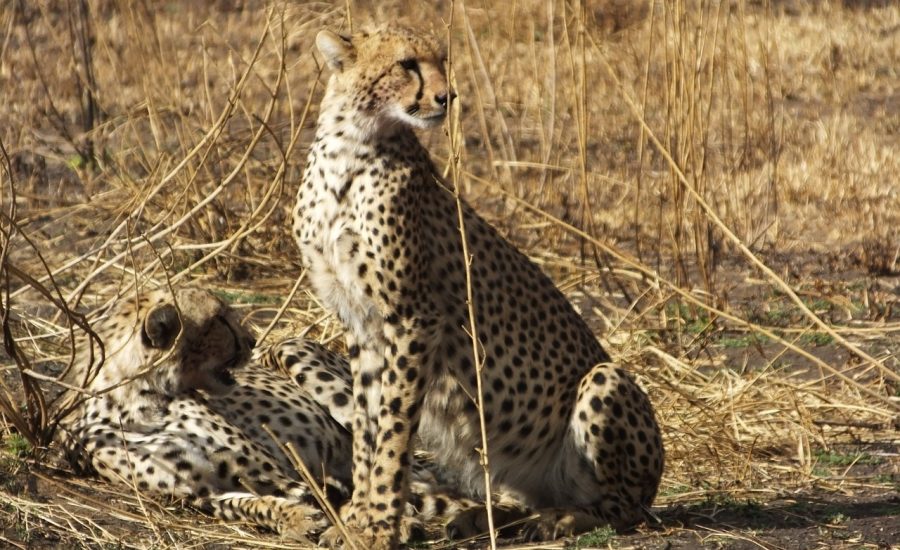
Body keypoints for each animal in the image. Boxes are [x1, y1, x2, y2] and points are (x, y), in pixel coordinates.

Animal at [292, 24, 664, 548]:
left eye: (441, 61)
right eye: (406, 64)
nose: (446, 97)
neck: (351, 147)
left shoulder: (414, 318)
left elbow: (394, 431)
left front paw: (380, 525)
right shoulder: (361, 322)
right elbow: (367, 428)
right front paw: (358, 520)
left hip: (605, 381)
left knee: (620, 508)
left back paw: (557, 520)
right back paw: (486, 517)